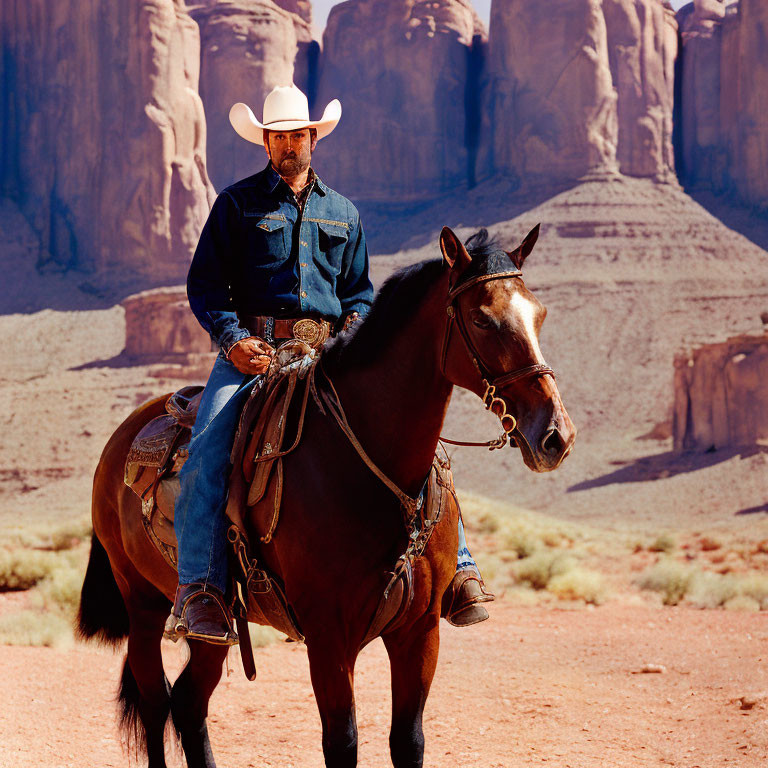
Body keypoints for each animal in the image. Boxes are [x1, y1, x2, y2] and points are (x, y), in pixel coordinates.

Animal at [78, 226, 576, 768]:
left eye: (539, 314)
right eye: (483, 319)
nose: (556, 436)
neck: (368, 467)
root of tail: (123, 437)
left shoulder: (420, 631)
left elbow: (409, 740)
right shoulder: (328, 635)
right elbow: (342, 743)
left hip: (215, 629)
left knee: (189, 702)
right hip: (143, 603)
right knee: (154, 701)